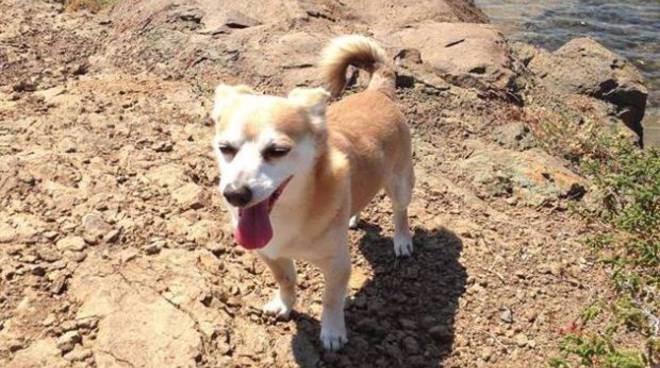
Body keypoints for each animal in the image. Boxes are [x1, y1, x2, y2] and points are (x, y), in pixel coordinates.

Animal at [211, 34, 416, 350]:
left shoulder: (338, 265)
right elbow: (286, 279)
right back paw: (352, 217)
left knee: (400, 211)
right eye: (225, 148)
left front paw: (332, 332)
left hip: (402, 183)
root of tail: (378, 91)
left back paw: (402, 241)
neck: (289, 213)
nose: (235, 194)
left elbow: (331, 300)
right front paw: (284, 304)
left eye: (277, 151)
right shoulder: (270, 254)